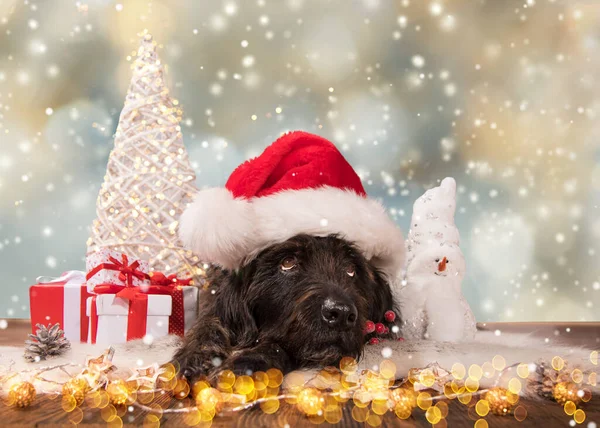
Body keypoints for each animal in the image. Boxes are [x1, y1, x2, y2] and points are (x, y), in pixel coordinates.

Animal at [172, 234, 398, 382]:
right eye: (288, 262)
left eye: (351, 269)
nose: (341, 313)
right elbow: (207, 323)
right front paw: (195, 355)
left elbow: (280, 346)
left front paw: (247, 362)